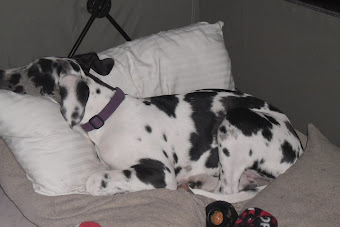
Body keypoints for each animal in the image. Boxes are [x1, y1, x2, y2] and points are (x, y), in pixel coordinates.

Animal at [0, 55, 302, 203]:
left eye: (32, 71)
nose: (2, 72)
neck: (106, 114)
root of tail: (298, 149)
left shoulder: (159, 171)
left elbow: (95, 180)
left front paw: (114, 189)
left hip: (236, 121)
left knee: (227, 193)